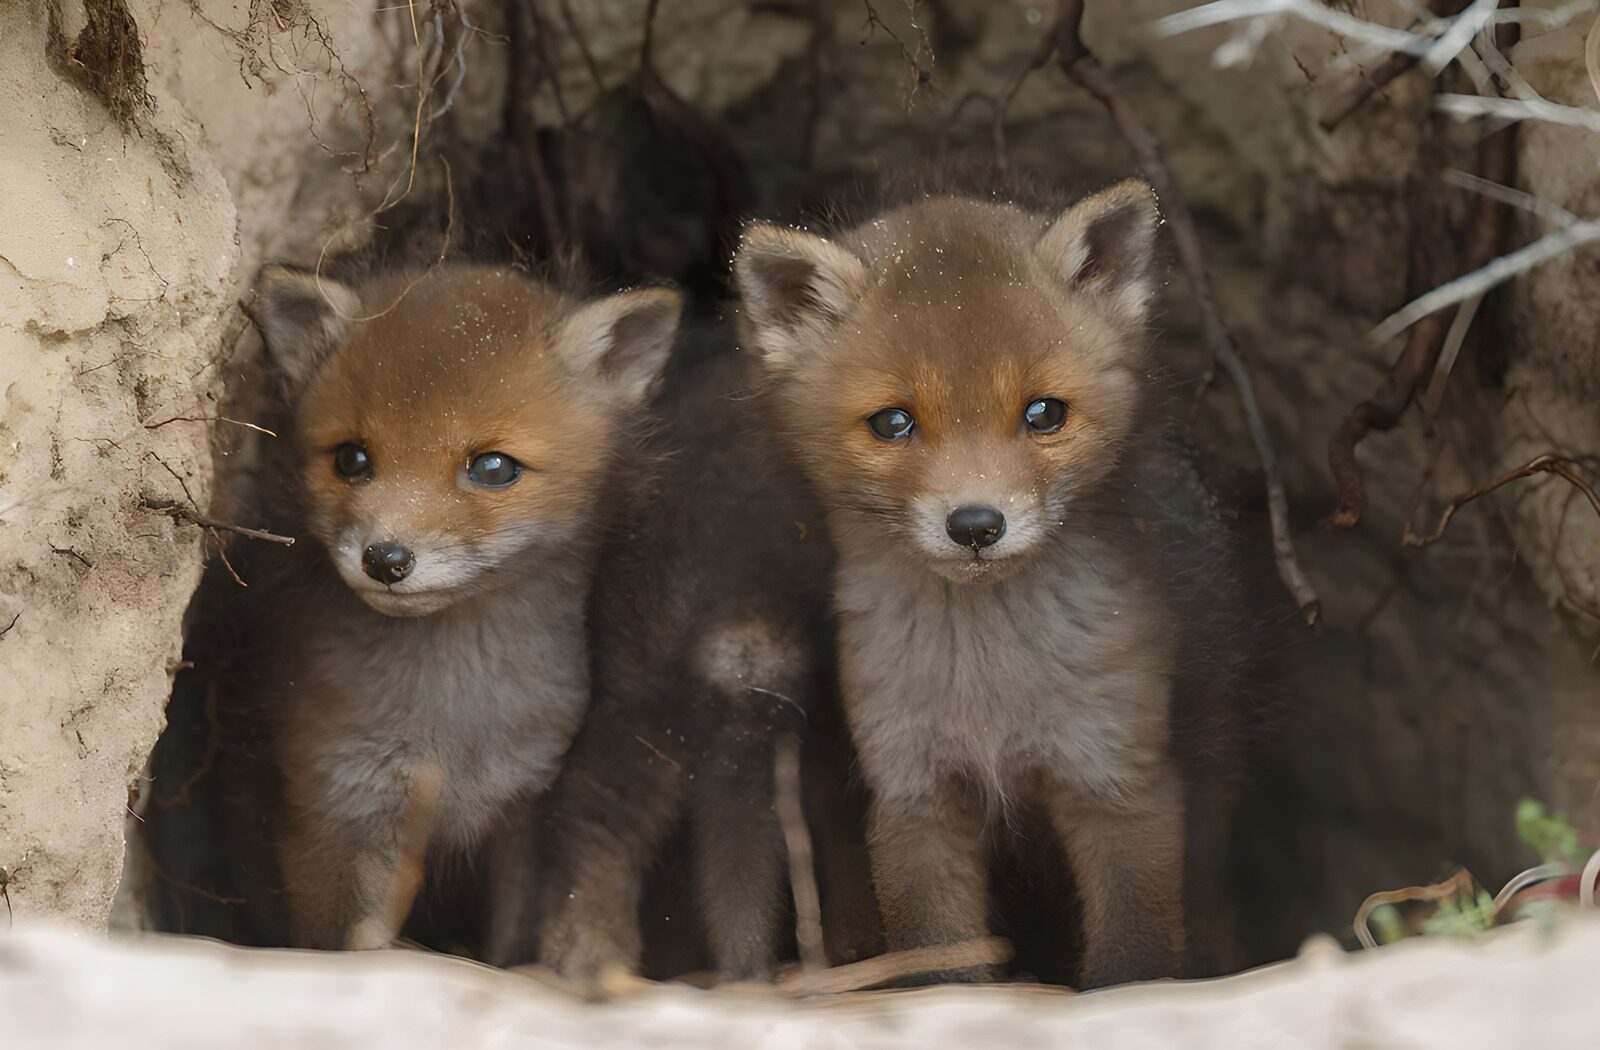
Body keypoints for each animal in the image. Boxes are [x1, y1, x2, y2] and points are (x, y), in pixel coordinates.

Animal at [207, 263, 683, 950]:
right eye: (351, 458)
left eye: (493, 467)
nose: (386, 559)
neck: (452, 726)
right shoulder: (337, 814)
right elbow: (343, 946)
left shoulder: (522, 810)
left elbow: (510, 943)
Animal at [733, 180, 1255, 987]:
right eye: (893, 422)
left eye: (1044, 413)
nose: (976, 525)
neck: (989, 693)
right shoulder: (913, 793)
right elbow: (938, 954)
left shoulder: (1120, 780)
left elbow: (1134, 953)